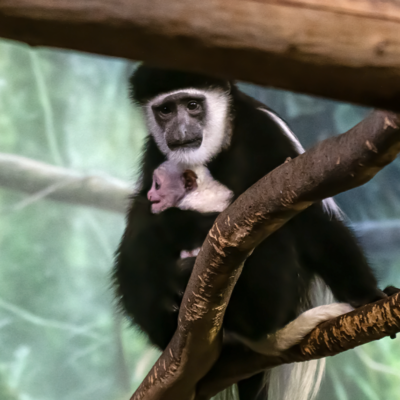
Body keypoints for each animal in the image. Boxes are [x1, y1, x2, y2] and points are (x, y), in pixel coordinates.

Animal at [114, 65, 390, 400]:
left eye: (192, 105)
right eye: (165, 110)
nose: (179, 132)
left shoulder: (267, 132)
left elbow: (310, 217)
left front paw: (368, 295)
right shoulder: (154, 151)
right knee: (138, 228)